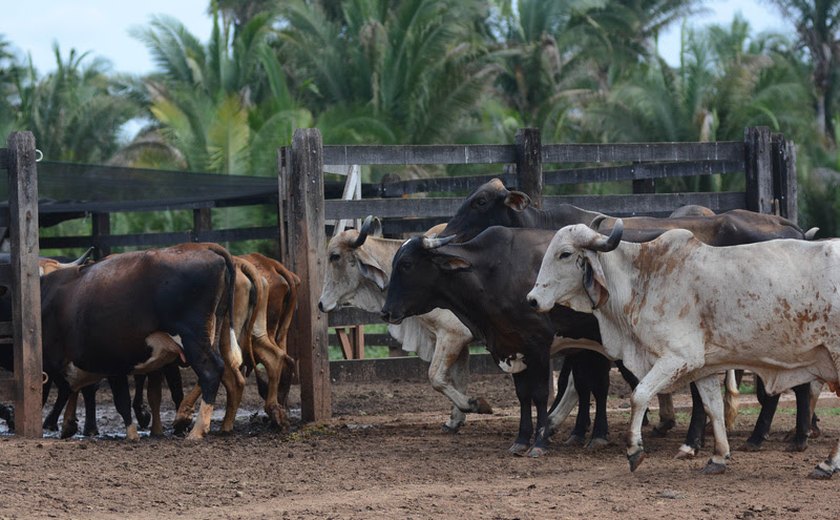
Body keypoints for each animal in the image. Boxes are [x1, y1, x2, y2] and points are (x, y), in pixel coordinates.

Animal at [524, 220, 840, 480]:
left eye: (565, 254)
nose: (532, 299)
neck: (643, 279)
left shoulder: (677, 357)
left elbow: (639, 395)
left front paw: (635, 450)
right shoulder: (704, 366)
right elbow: (713, 408)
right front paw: (718, 457)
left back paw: (827, 463)